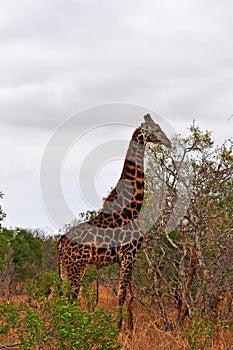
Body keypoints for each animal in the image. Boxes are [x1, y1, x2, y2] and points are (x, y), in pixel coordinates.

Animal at [57, 114, 170, 328]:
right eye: (155, 129)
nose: (168, 142)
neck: (131, 209)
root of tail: (60, 243)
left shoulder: (127, 258)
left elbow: (129, 295)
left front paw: (129, 329)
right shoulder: (129, 255)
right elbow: (122, 295)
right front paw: (118, 330)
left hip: (65, 269)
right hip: (77, 266)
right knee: (70, 299)